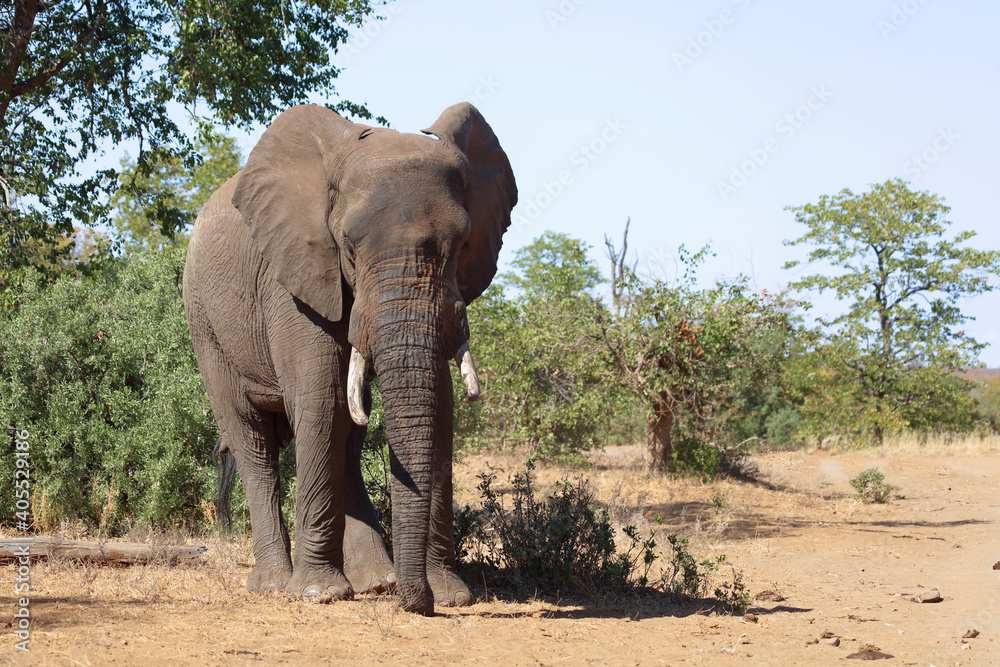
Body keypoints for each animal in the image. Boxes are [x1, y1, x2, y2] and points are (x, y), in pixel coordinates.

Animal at [182, 102, 517, 615]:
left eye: (462, 246)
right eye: (350, 248)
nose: (415, 602)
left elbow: (438, 409)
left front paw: (451, 596)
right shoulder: (293, 273)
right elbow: (321, 400)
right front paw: (318, 594)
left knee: (350, 431)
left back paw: (378, 581)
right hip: (204, 321)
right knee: (251, 436)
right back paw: (277, 584)